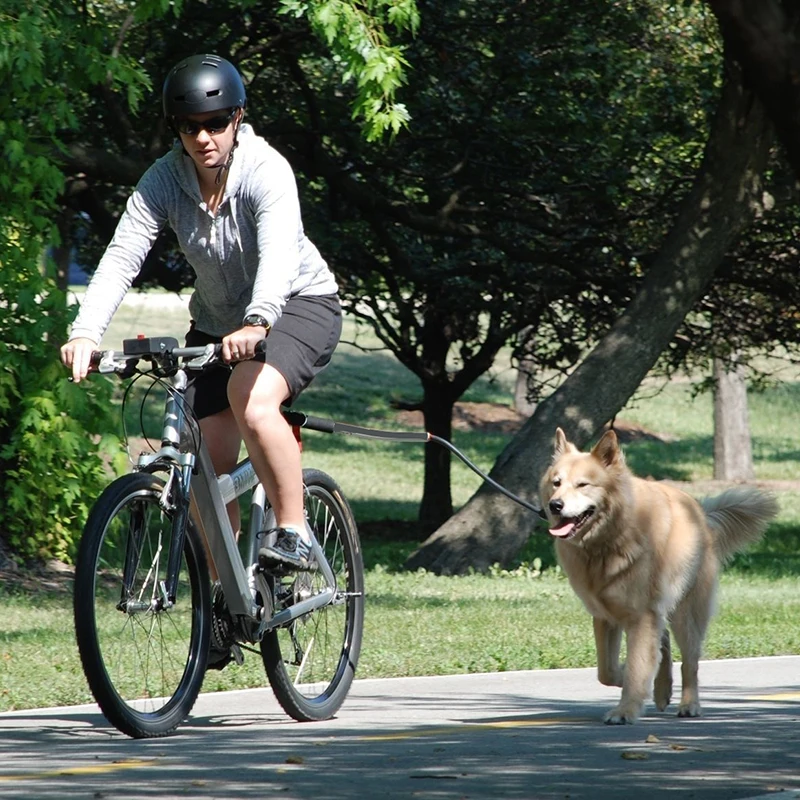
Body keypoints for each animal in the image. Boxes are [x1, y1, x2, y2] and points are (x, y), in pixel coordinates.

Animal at [540, 432, 780, 724]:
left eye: (583, 484)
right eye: (556, 483)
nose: (555, 505)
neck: (610, 538)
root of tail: (702, 514)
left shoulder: (641, 615)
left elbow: (637, 667)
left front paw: (626, 710)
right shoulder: (606, 616)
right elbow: (607, 671)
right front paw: (631, 681)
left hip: (687, 615)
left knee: (690, 663)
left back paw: (689, 705)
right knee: (662, 641)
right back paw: (662, 688)